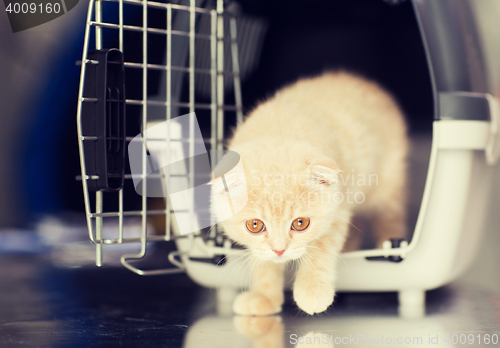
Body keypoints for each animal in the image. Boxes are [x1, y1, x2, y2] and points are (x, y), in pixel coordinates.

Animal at [209, 70, 408, 316]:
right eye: (254, 225)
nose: (279, 250)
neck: (277, 127)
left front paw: (312, 292)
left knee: (391, 219)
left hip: (388, 182)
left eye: (300, 223)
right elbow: (263, 261)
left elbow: (321, 248)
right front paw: (264, 298)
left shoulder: (338, 209)